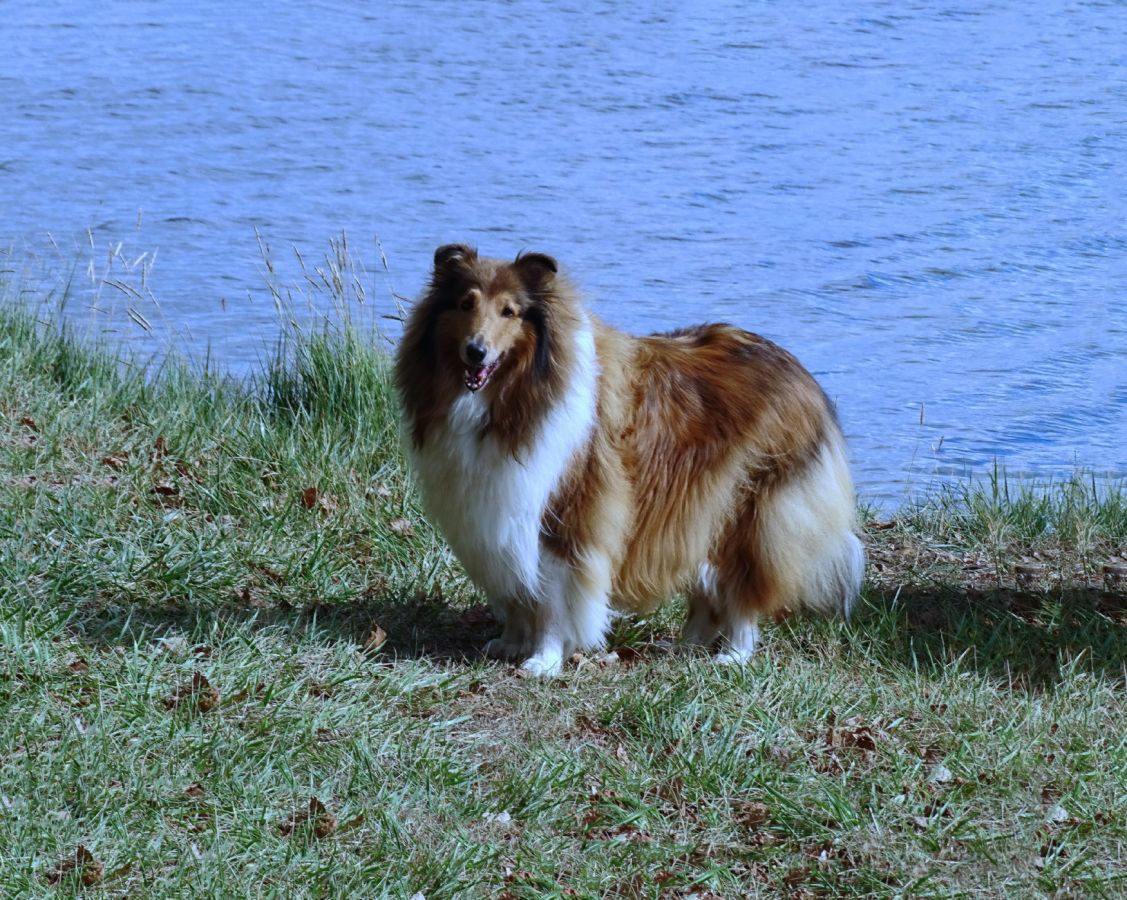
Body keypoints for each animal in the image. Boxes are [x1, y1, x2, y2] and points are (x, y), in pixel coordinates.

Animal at [394, 245, 864, 675]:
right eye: (466, 304)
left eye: (510, 312)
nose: (476, 351)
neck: (514, 395)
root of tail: (802, 374)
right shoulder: (498, 514)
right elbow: (518, 592)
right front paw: (511, 642)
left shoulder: (565, 515)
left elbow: (550, 599)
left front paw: (544, 659)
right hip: (699, 513)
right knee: (708, 586)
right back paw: (685, 646)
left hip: (752, 511)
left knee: (744, 585)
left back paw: (734, 653)